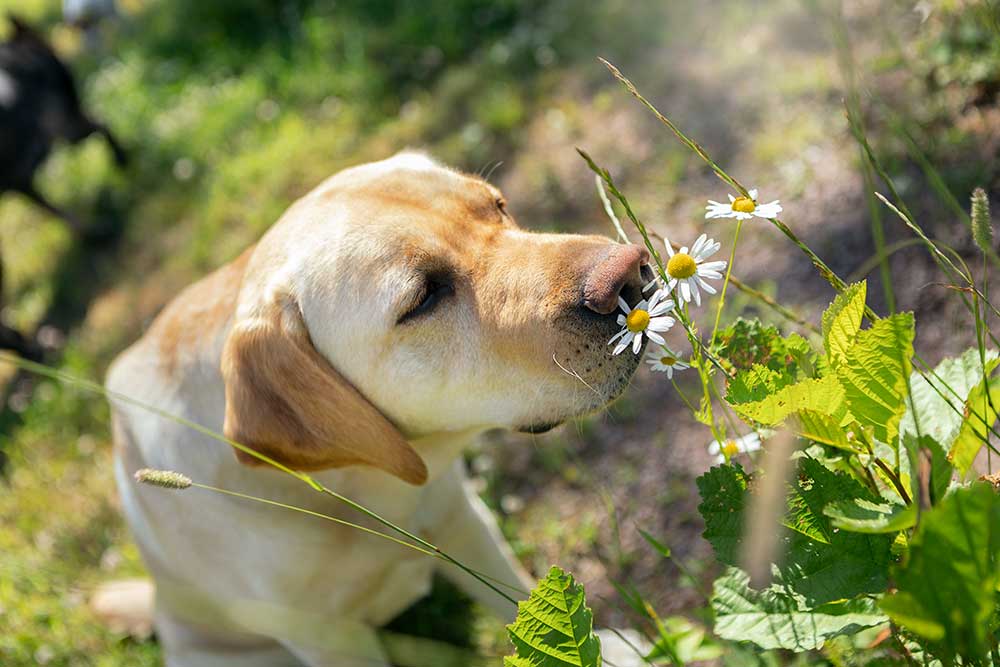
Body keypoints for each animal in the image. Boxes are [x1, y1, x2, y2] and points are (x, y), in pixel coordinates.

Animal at [0, 14, 129, 360]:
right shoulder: (67, 126)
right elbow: (102, 124)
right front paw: (122, 161)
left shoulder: (22, 181)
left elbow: (55, 210)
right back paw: (39, 349)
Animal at [101, 154, 648, 664]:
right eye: (423, 297)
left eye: (498, 206)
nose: (630, 274)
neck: (360, 486)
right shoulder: (328, 639)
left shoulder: (463, 520)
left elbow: (519, 597)